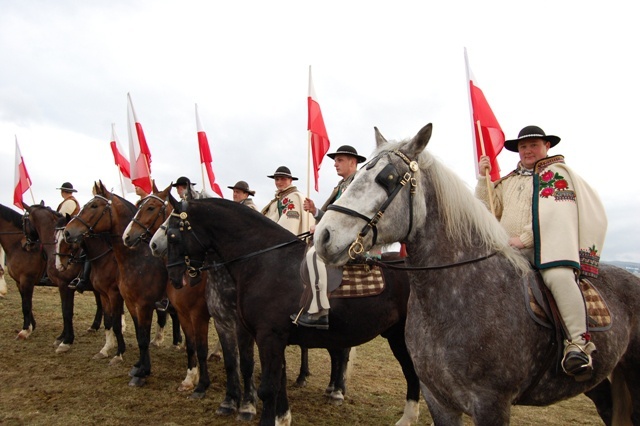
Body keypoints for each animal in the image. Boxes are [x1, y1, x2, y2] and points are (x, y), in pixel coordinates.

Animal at [64, 181, 178, 388]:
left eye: (94, 206)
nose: (68, 232)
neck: (136, 260)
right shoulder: (124, 301)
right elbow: (132, 331)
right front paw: (136, 364)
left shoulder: (135, 302)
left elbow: (123, 327)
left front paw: (134, 366)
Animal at [161, 199, 420, 426]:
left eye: (172, 236)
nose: (173, 277)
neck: (265, 260)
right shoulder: (273, 339)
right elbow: (279, 380)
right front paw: (282, 417)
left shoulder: (268, 336)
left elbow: (267, 388)